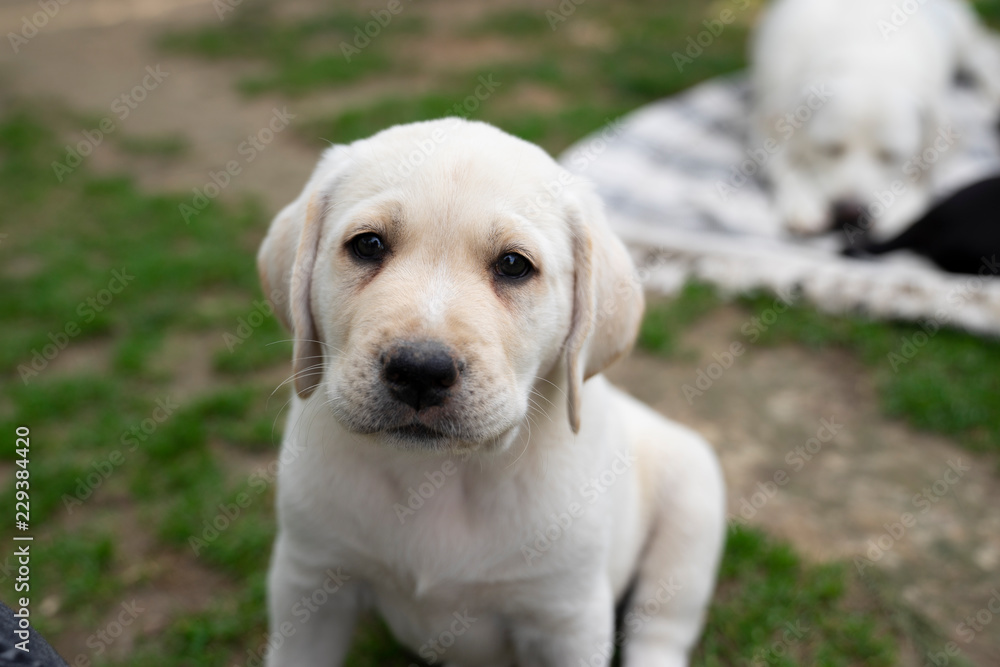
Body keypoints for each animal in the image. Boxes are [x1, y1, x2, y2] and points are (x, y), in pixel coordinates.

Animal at [256, 120, 728, 667]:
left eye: (513, 265)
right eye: (368, 245)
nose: (420, 370)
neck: (439, 477)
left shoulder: (566, 620)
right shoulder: (310, 580)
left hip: (691, 515)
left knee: (660, 629)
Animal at [752, 0, 1000, 241]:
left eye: (890, 156)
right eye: (830, 149)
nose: (850, 212)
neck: (870, 56)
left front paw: (902, 210)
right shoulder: (767, 129)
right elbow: (786, 166)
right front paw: (803, 203)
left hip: (963, 39)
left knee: (984, 55)